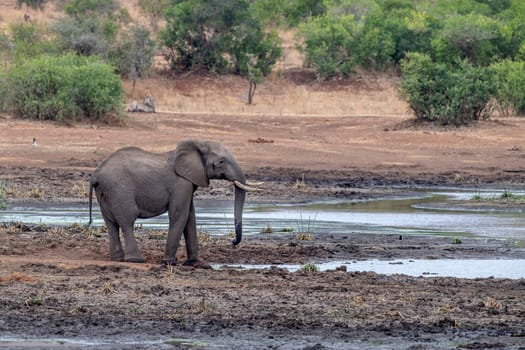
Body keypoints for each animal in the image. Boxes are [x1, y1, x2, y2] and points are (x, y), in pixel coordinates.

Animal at [88, 139, 256, 266]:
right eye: (221, 161)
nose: (233, 241)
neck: (197, 144)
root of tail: (95, 174)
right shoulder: (181, 182)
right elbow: (179, 214)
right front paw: (169, 262)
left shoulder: (188, 182)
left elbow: (190, 217)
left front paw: (196, 264)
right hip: (119, 190)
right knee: (127, 221)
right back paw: (136, 260)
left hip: (106, 193)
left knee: (111, 224)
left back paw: (117, 259)